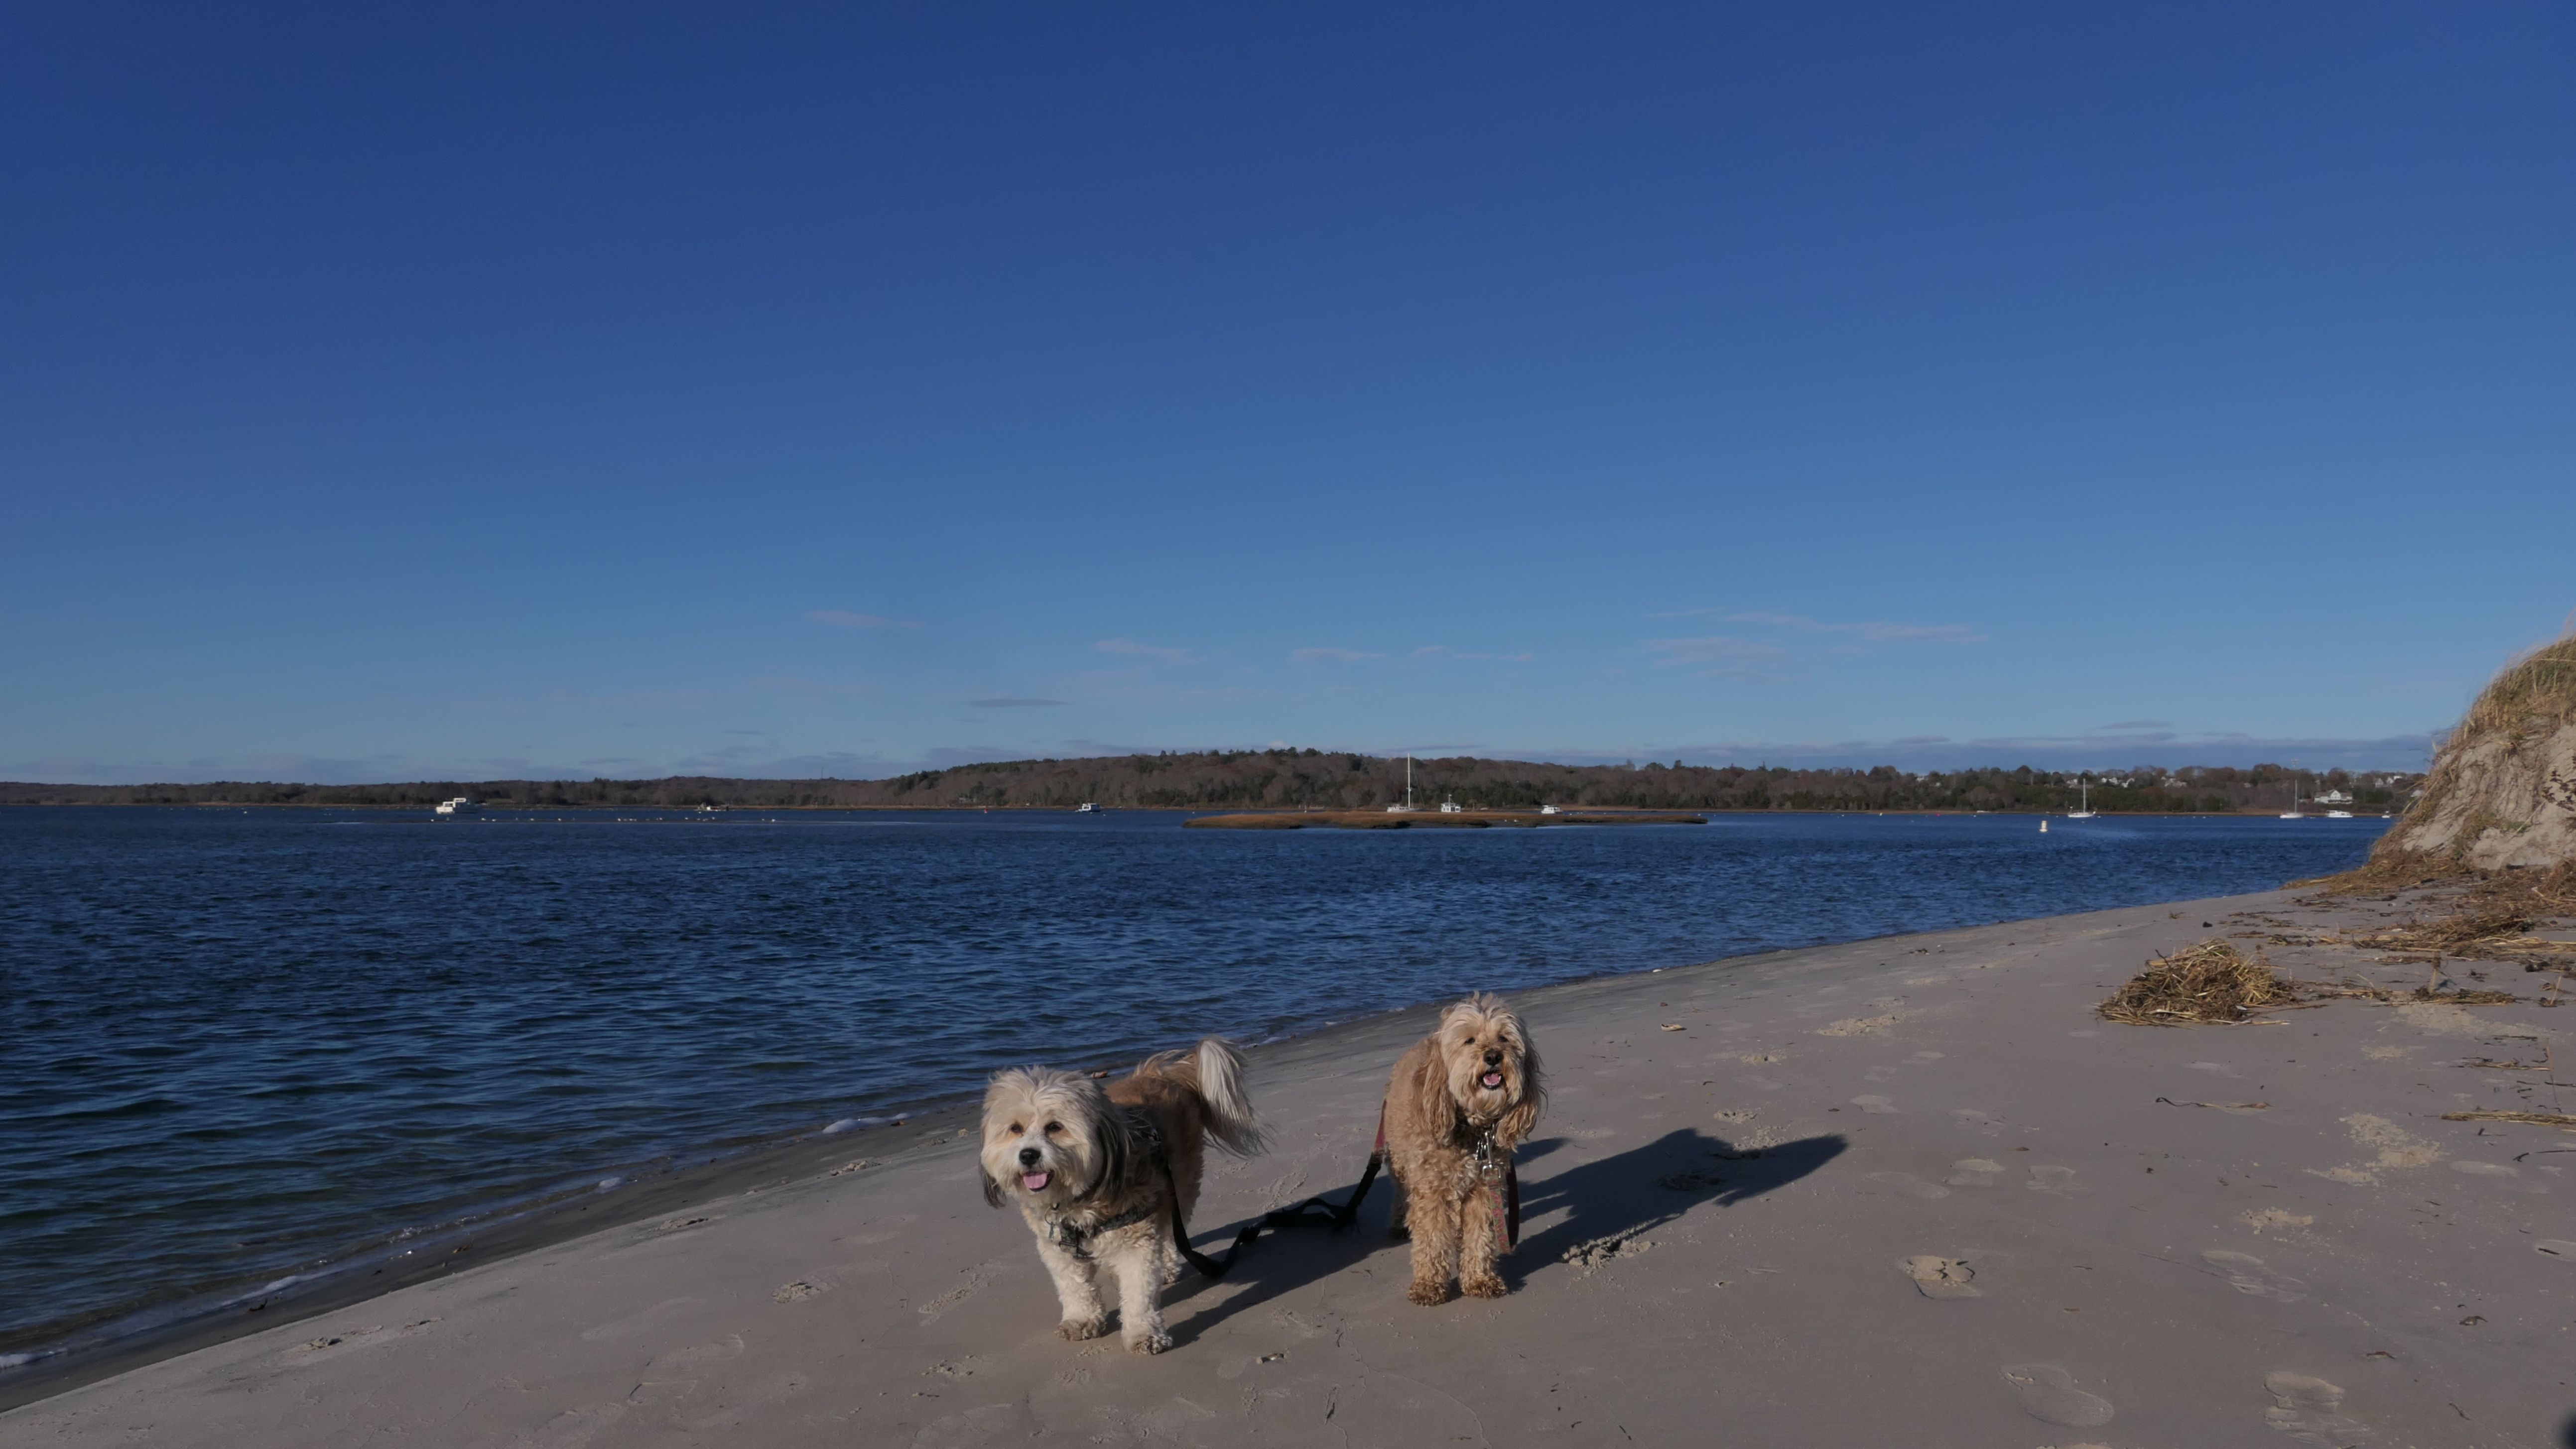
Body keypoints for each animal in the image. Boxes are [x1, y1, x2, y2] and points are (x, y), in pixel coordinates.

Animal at [980, 1037, 1264, 1353]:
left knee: (1169, 1229)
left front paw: (1144, 1333)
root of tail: (1162, 1075)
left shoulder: (1136, 1239)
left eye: (1055, 1127)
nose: (1028, 1155)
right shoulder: (1057, 1247)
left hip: (1179, 1184)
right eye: (1015, 1129)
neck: (1078, 1199)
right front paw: (1081, 1319)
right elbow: (1074, 1287)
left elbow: (1140, 1293)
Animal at [1380, 993, 1544, 1304]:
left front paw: (1479, 1279)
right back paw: (1397, 1223)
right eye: (1469, 1040)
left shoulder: (1483, 1188)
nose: (1493, 1056)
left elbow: (1480, 1236)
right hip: (1398, 1158)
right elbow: (1431, 1237)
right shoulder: (1431, 1189)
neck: (1472, 1130)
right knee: (1400, 1192)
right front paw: (1429, 1285)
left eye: (1504, 1038)